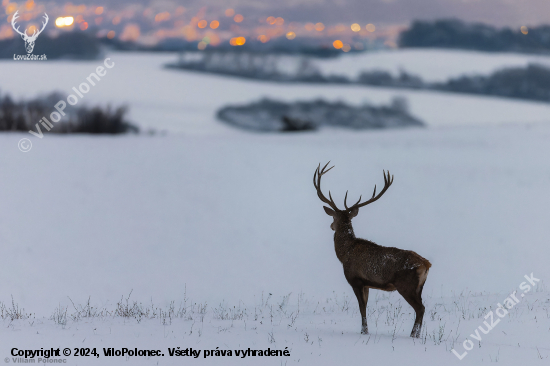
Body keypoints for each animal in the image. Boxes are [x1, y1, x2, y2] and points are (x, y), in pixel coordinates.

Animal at [314, 162, 432, 338]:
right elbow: (365, 306)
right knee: (422, 308)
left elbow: (362, 308)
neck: (344, 254)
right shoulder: (367, 284)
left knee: (420, 308)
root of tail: (426, 264)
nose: (331, 226)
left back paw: (412, 335)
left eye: (333, 217)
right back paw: (416, 335)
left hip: (406, 285)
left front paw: (364, 331)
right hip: (420, 287)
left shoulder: (355, 279)